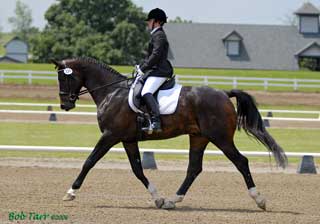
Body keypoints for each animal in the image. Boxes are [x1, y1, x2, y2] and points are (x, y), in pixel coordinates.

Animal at [52, 57, 288, 210]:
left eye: (64, 78)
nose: (65, 105)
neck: (111, 92)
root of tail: (223, 93)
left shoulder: (110, 136)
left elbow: (89, 162)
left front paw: (70, 193)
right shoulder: (128, 140)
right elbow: (137, 170)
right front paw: (158, 199)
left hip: (220, 138)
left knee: (241, 162)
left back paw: (259, 199)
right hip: (199, 137)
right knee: (194, 168)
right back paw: (173, 200)